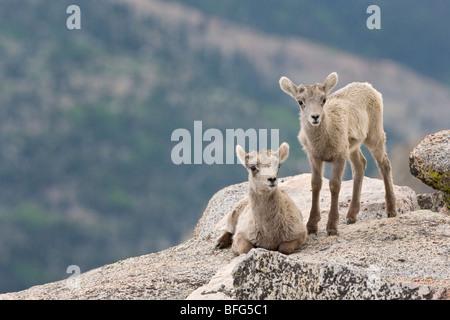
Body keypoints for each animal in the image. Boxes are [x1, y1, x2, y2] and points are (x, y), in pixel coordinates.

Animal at [280, 72, 400, 235]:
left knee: (384, 163)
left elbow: (334, 185)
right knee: (360, 164)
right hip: (353, 146)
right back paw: (351, 216)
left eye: (324, 99)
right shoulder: (314, 157)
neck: (324, 139)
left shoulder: (339, 156)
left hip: (374, 135)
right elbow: (316, 184)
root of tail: (369, 87)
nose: (315, 117)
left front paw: (332, 227)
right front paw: (311, 226)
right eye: (300, 101)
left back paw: (391, 210)